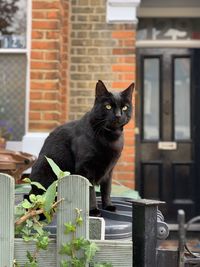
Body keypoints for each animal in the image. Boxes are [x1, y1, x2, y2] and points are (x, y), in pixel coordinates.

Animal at [29, 80, 134, 217]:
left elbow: (107, 189)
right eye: (108, 107)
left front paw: (108, 206)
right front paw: (93, 210)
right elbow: (90, 192)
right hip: (45, 170)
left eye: (125, 107)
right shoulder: (85, 169)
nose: (118, 115)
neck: (110, 137)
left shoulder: (109, 171)